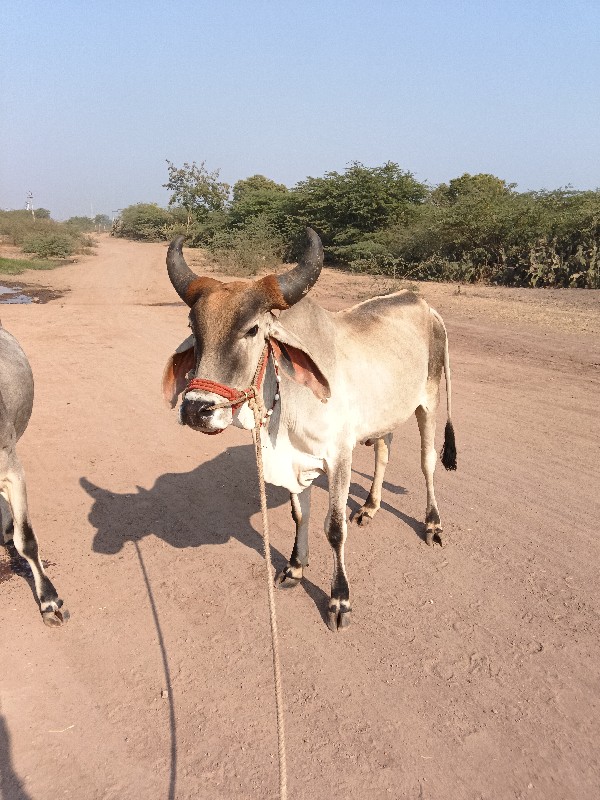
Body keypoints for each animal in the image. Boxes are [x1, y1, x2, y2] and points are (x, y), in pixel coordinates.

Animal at [162, 228, 458, 628]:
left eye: (253, 329)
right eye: (195, 328)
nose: (196, 409)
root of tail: (422, 302)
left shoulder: (339, 457)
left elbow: (334, 528)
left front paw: (339, 599)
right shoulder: (294, 460)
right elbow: (299, 514)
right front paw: (295, 567)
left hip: (428, 400)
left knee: (427, 463)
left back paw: (432, 524)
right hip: (384, 414)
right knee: (384, 451)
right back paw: (370, 507)